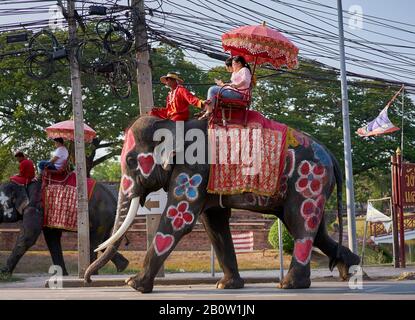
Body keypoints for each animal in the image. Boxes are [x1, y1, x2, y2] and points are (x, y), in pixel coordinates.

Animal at [0, 179, 130, 276]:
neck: (23, 184)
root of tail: (114, 199)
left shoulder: (35, 207)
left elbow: (29, 236)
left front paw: (4, 273)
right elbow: (52, 239)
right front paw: (62, 275)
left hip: (101, 216)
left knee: (94, 242)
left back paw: (93, 273)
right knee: (103, 241)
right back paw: (122, 266)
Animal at [85, 113, 360, 292]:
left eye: (131, 161)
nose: (87, 281)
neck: (174, 125)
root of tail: (331, 155)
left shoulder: (194, 167)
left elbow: (179, 220)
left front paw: (134, 285)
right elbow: (214, 223)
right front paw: (226, 286)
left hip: (309, 179)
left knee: (300, 223)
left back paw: (290, 285)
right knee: (313, 228)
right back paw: (351, 268)